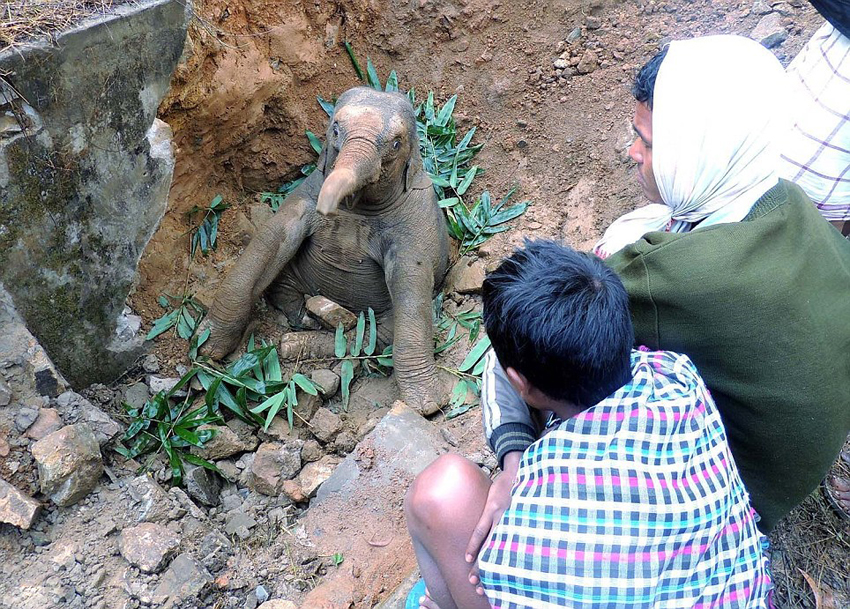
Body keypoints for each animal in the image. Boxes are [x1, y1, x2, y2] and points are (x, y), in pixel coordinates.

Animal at [200, 86, 450, 415]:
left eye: (396, 144)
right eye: (335, 129)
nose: (328, 210)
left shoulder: (415, 223)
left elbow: (412, 286)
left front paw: (427, 405)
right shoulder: (305, 193)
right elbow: (271, 240)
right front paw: (208, 348)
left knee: (375, 335)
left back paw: (303, 336)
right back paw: (306, 321)